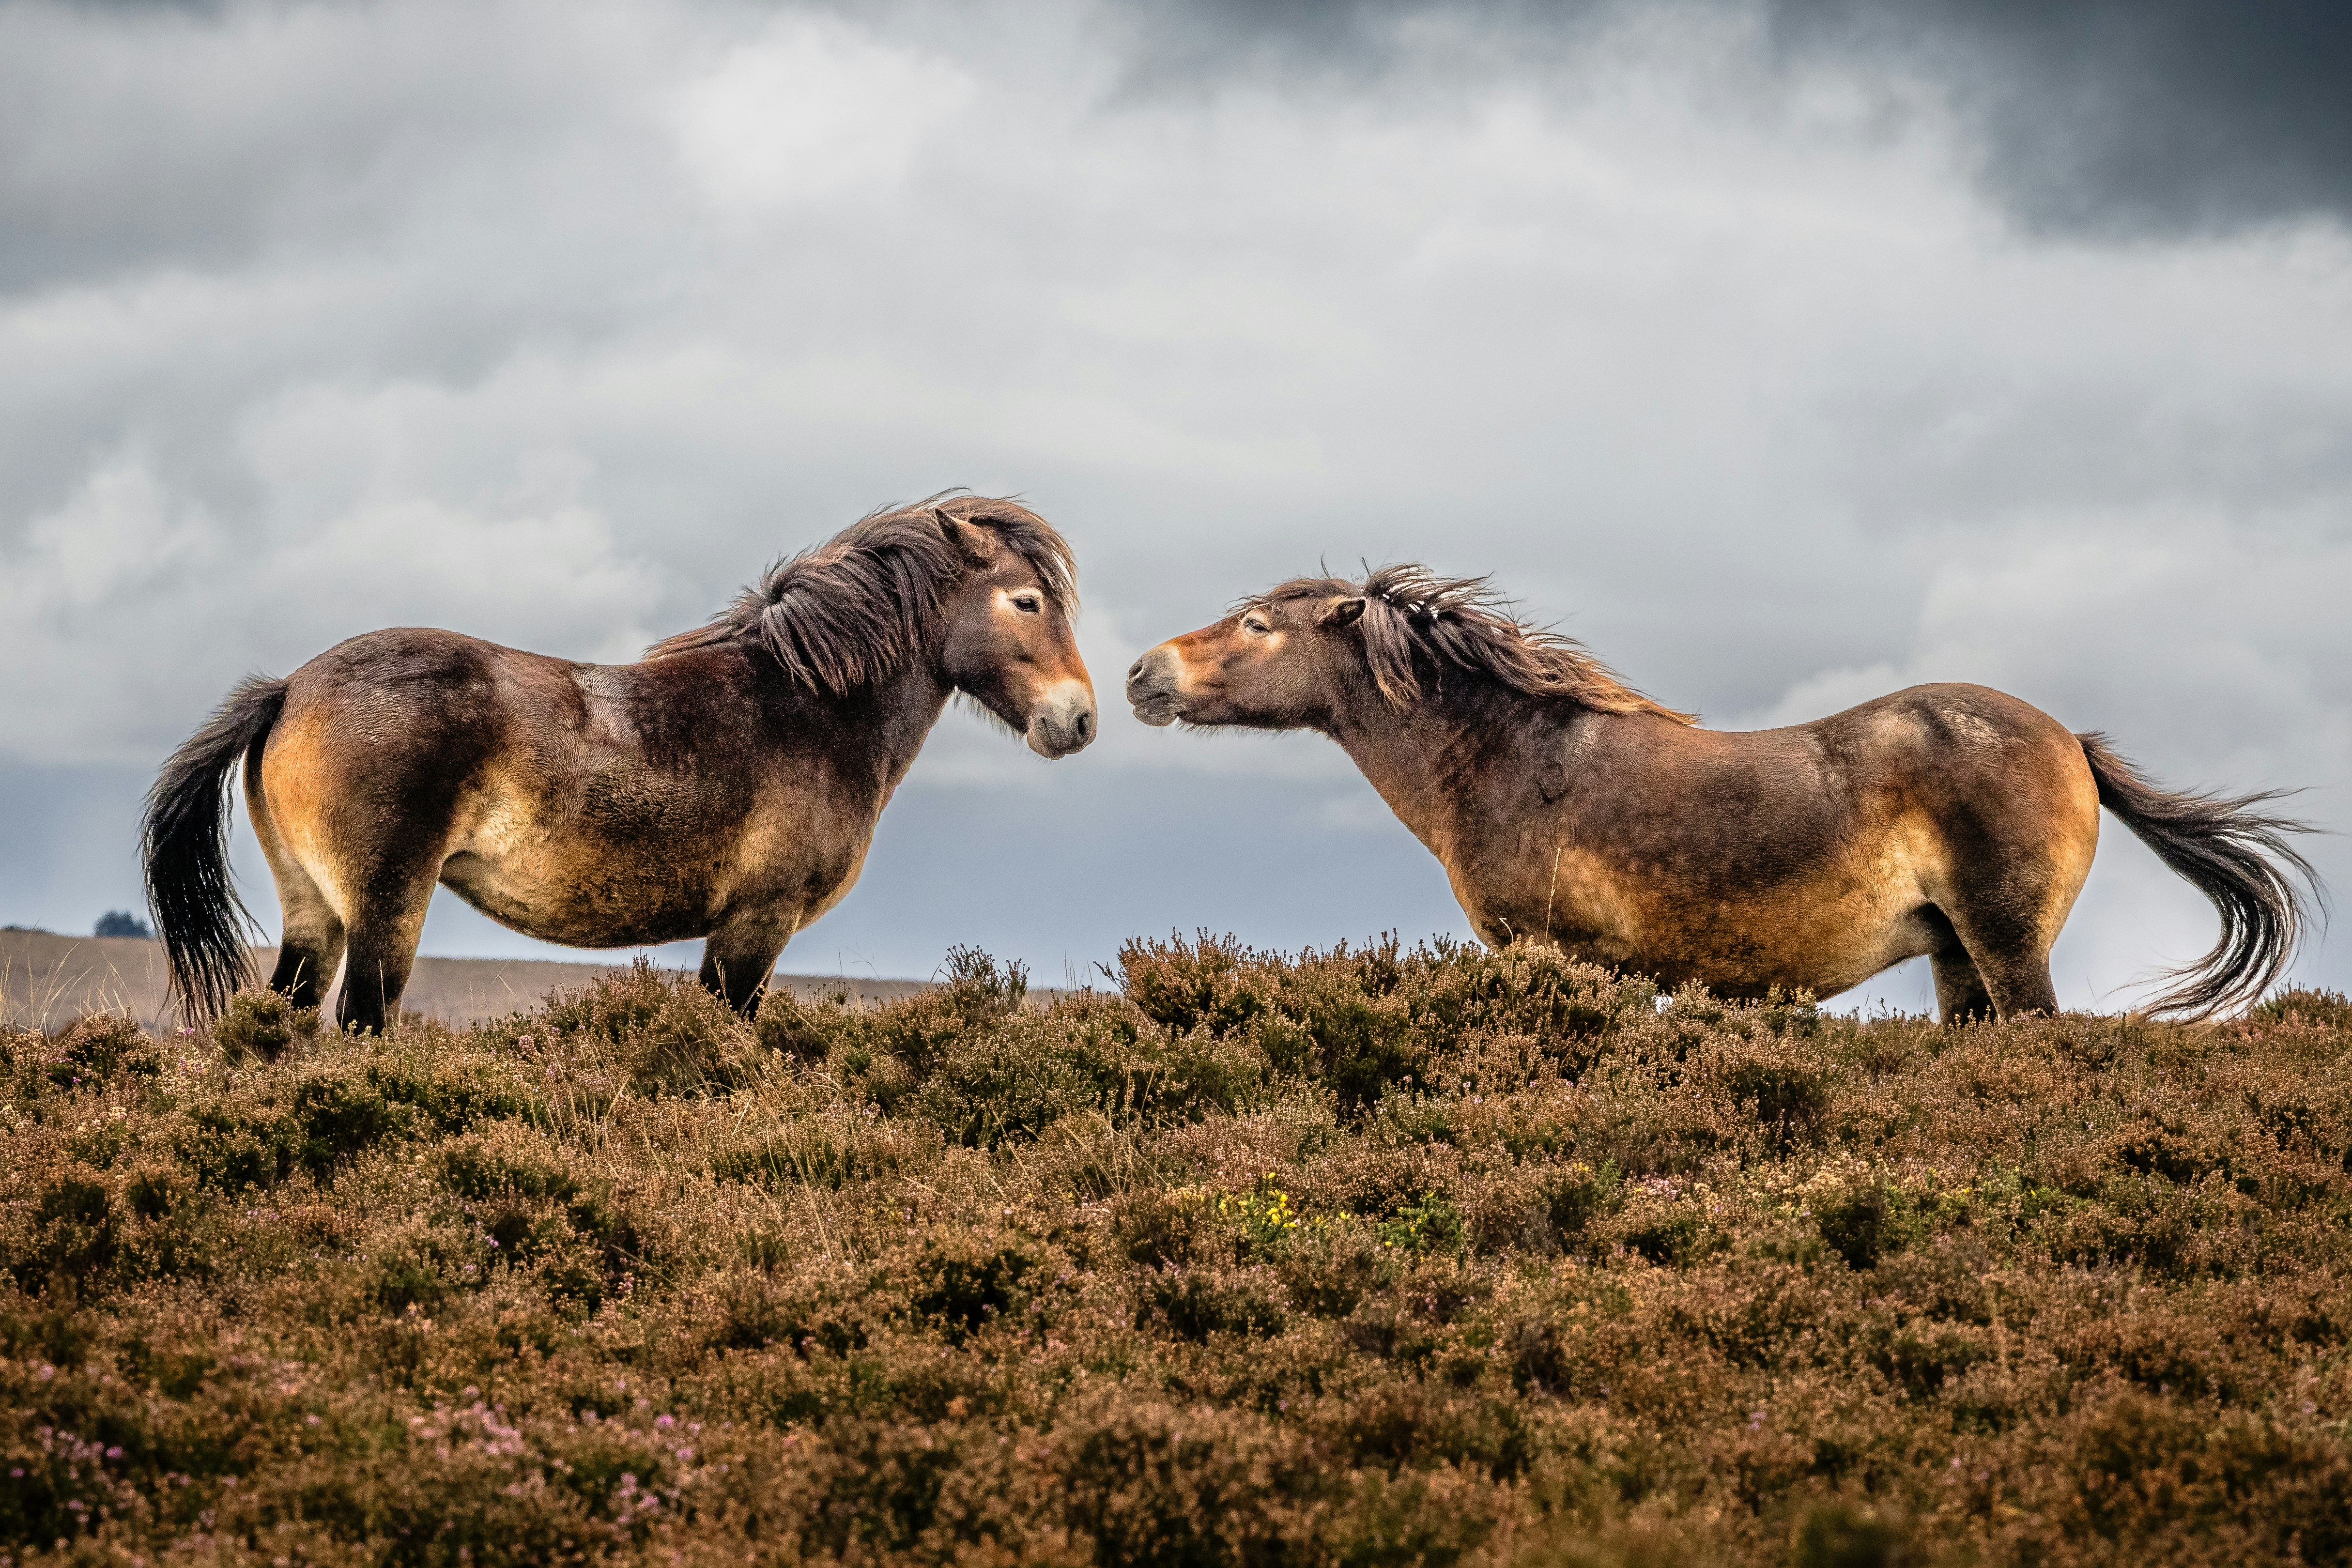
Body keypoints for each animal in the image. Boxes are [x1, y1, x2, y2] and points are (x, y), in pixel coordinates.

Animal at [145, 496, 1096, 1033]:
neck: (808, 707)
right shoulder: (756, 924)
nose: (1079, 718)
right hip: (385, 905)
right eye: (1026, 601)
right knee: (363, 1021)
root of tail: (289, 688)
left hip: (313, 909)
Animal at [1125, 565, 2318, 1021]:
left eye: (1256, 624)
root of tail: (2067, 738)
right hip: (1953, 957)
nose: (1140, 674)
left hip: (2008, 942)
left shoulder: (1551, 955)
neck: (1513, 754)